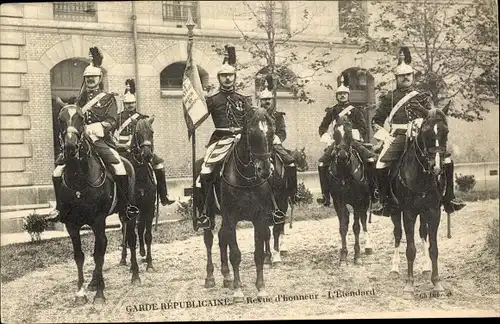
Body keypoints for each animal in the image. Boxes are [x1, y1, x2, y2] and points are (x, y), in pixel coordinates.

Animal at [56, 103, 137, 304]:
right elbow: (80, 256)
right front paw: (81, 293)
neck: (79, 180)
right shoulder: (72, 225)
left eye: (81, 118)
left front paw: (99, 295)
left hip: (127, 214)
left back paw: (135, 275)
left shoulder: (98, 221)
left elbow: (98, 255)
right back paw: (94, 282)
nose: (70, 147)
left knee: (131, 240)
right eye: (60, 119)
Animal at [193, 106, 284, 302]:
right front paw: (238, 290)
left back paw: (226, 276)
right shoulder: (231, 217)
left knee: (221, 237)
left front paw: (260, 287)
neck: (246, 178)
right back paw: (210, 277)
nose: (265, 170)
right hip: (209, 214)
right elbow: (235, 254)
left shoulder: (259, 219)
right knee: (209, 240)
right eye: (251, 133)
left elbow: (258, 254)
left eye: (272, 133)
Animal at [326, 116, 374, 266]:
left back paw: (368, 247)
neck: (344, 175)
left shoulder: (358, 201)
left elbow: (356, 227)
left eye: (349, 133)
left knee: (364, 221)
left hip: (365, 201)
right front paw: (343, 256)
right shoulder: (338, 201)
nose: (341, 156)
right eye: (335, 133)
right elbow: (343, 226)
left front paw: (357, 256)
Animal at [386, 107, 450, 298]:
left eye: (446, 132)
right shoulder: (408, 213)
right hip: (395, 210)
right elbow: (410, 249)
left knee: (423, 233)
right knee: (397, 234)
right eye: (425, 132)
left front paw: (437, 283)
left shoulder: (434, 212)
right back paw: (394, 268)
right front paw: (409, 285)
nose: (436, 167)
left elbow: (433, 248)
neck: (420, 176)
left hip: (423, 212)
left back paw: (425, 267)